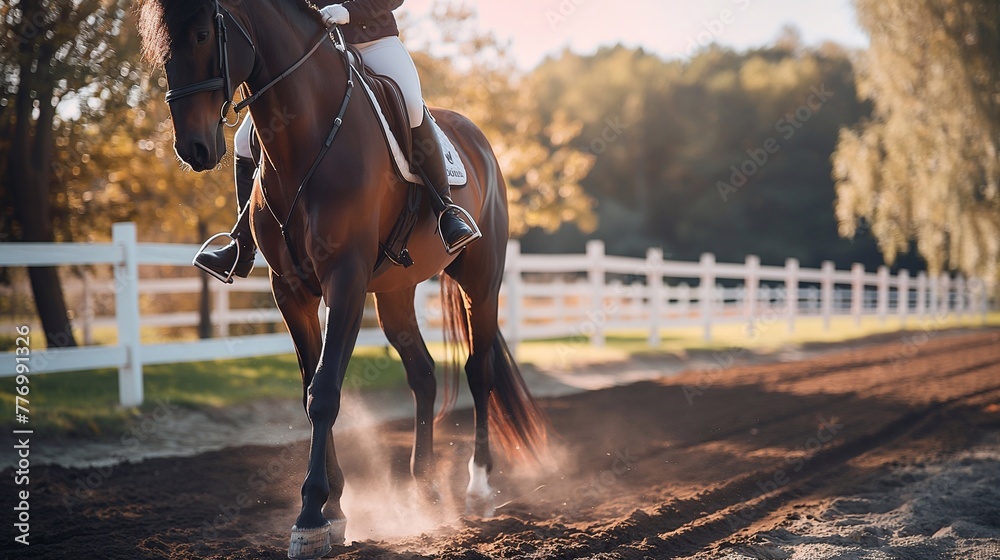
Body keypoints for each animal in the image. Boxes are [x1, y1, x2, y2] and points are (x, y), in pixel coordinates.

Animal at [137, 0, 548, 557]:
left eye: (202, 34)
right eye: (161, 47)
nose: (194, 148)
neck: (304, 137)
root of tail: (477, 137)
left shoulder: (346, 279)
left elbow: (326, 392)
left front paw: (312, 515)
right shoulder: (289, 290)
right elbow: (309, 387)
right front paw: (333, 510)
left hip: (481, 283)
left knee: (478, 371)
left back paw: (479, 485)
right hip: (395, 293)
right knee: (422, 374)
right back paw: (424, 487)